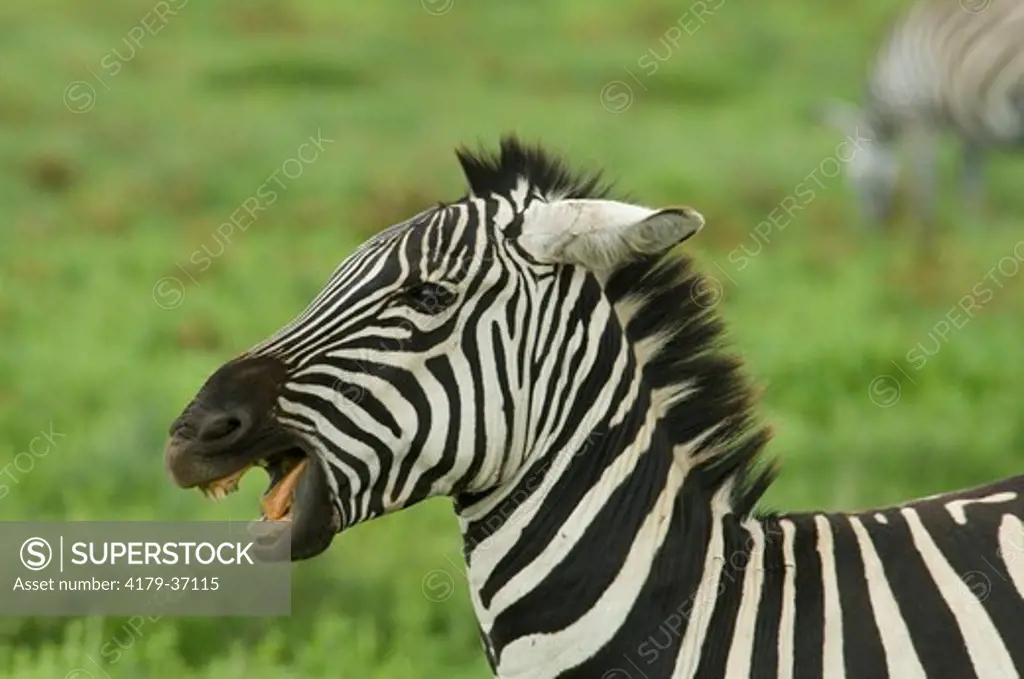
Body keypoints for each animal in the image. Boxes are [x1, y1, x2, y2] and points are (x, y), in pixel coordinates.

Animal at [819, 0, 1024, 228]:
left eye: (854, 180)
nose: (869, 230)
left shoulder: (918, 117)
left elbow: (925, 176)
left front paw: (924, 226)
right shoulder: (970, 123)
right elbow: (970, 178)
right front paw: (972, 225)